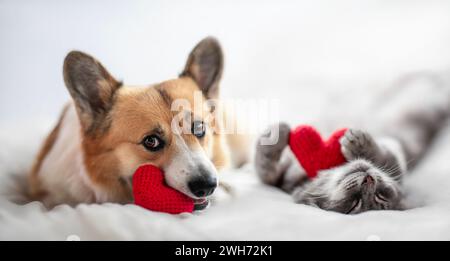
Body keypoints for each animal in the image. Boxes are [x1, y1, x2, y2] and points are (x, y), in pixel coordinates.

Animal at [256, 73, 450, 213]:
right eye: (354, 204)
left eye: (379, 197)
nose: (369, 180)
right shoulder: (280, 176)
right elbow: (266, 172)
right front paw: (277, 133)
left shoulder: (397, 154)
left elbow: (386, 156)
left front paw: (359, 143)